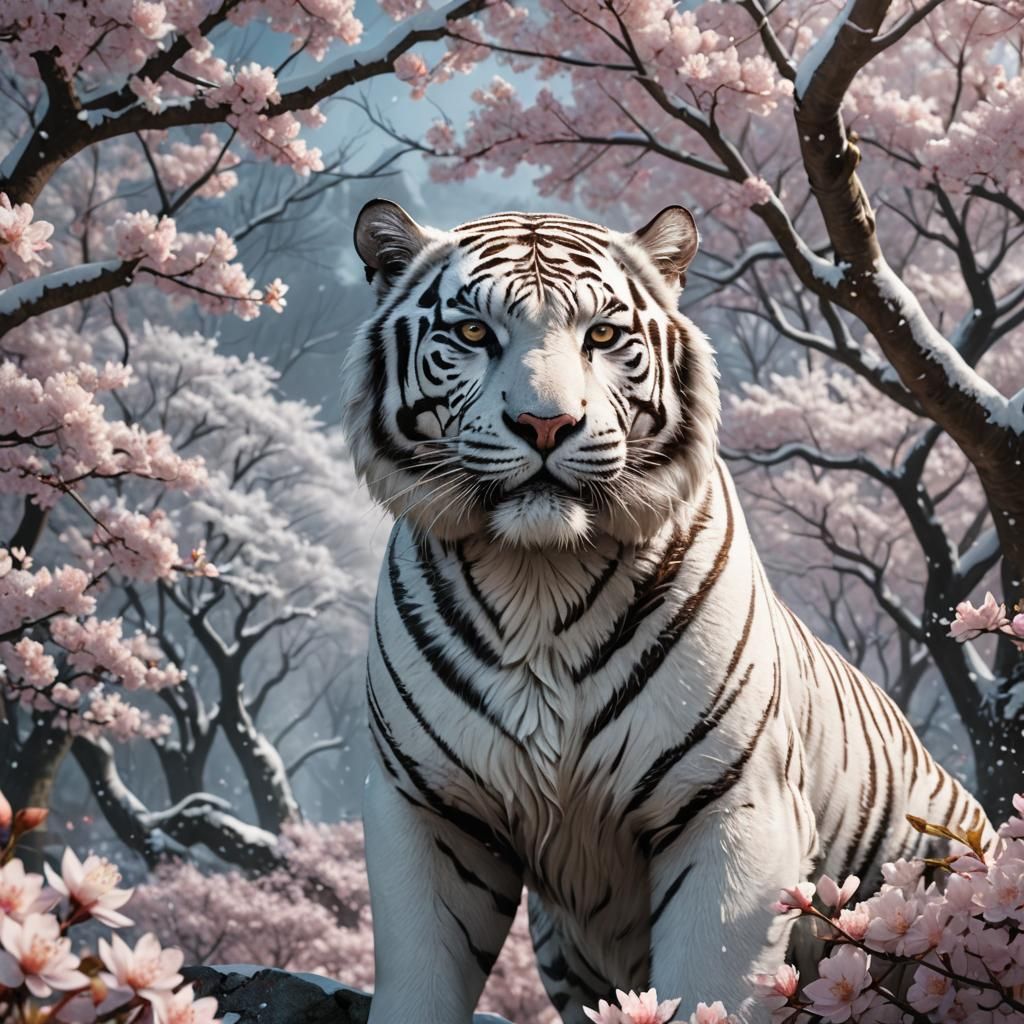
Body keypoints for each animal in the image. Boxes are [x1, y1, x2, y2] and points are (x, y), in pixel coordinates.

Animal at [339, 199, 992, 1024]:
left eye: (601, 335)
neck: (537, 575)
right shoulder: (431, 812)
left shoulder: (737, 807)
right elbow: (421, 982)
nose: (545, 424)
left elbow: (711, 987)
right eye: (475, 334)